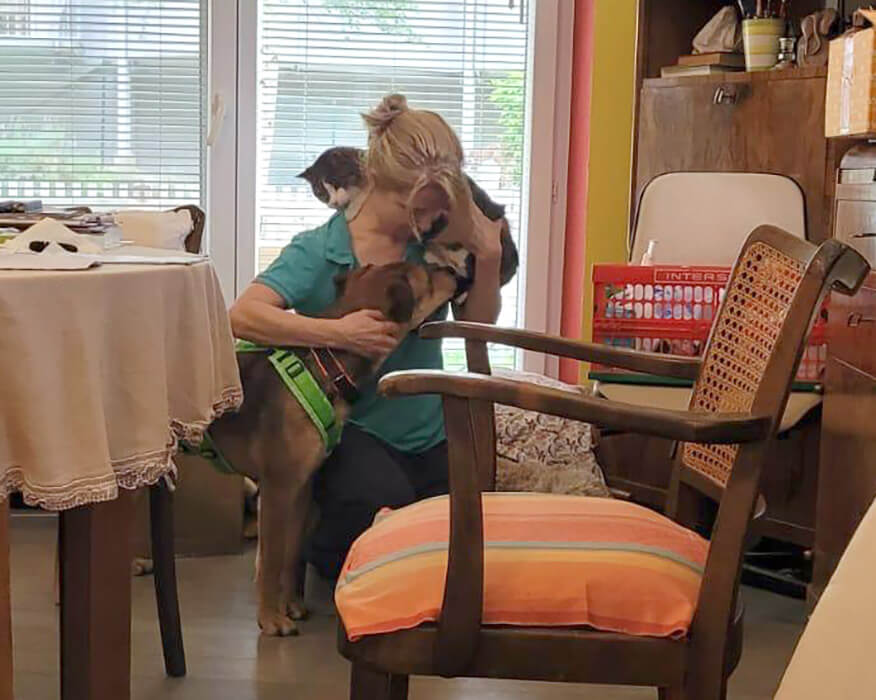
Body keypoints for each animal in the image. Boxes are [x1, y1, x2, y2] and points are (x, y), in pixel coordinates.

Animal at [209, 261, 457, 636]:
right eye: (427, 274)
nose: (454, 271)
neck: (327, 366)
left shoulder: (302, 487)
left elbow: (292, 555)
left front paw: (291, 605)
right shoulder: (278, 487)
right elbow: (271, 560)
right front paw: (271, 619)